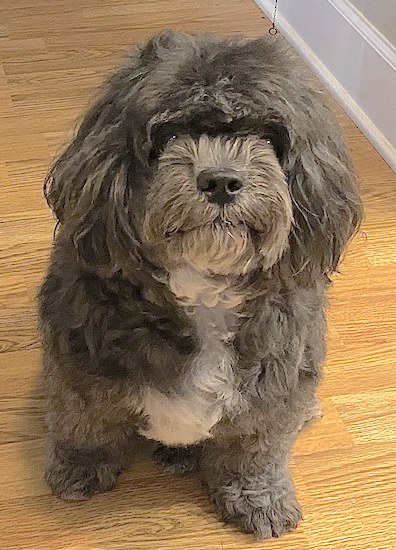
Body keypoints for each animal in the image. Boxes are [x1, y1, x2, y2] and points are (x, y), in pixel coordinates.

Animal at [38, 32, 364, 540]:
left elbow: (254, 451)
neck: (204, 295)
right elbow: (83, 421)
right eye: (170, 133)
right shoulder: (80, 360)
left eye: (267, 135)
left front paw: (258, 499)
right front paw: (79, 467)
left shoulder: (274, 383)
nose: (222, 181)